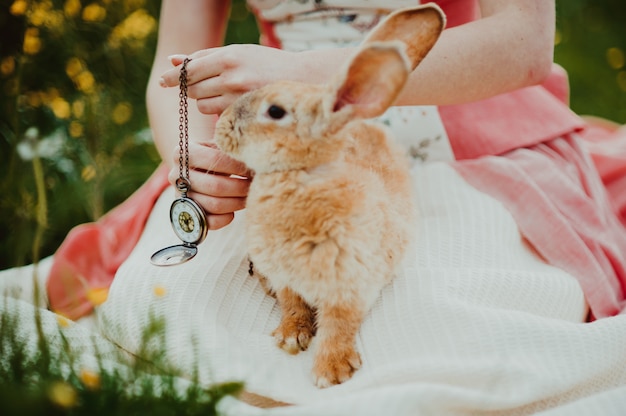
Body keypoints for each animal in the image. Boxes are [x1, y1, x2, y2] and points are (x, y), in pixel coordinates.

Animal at [213, 3, 444, 388]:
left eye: (275, 111)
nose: (221, 126)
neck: (299, 175)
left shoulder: (348, 285)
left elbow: (338, 324)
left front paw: (331, 371)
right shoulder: (287, 279)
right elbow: (292, 305)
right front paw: (290, 337)